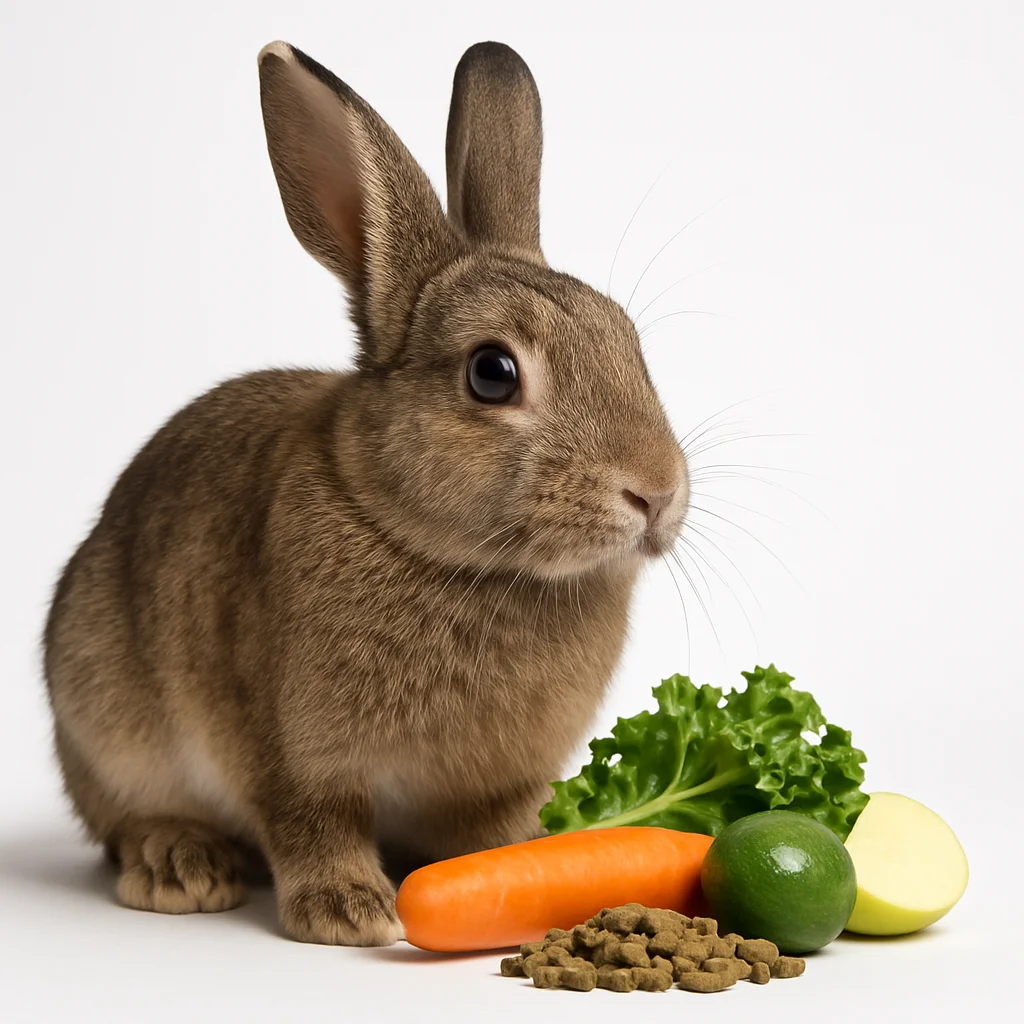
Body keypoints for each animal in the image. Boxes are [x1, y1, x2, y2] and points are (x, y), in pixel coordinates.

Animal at [42, 40, 689, 946]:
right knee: (126, 820)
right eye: (493, 373)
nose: (656, 493)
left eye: (628, 342)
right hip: (103, 714)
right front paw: (347, 913)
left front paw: (538, 869)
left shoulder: (496, 784)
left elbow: (496, 837)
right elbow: (314, 821)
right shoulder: (292, 754)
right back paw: (182, 867)